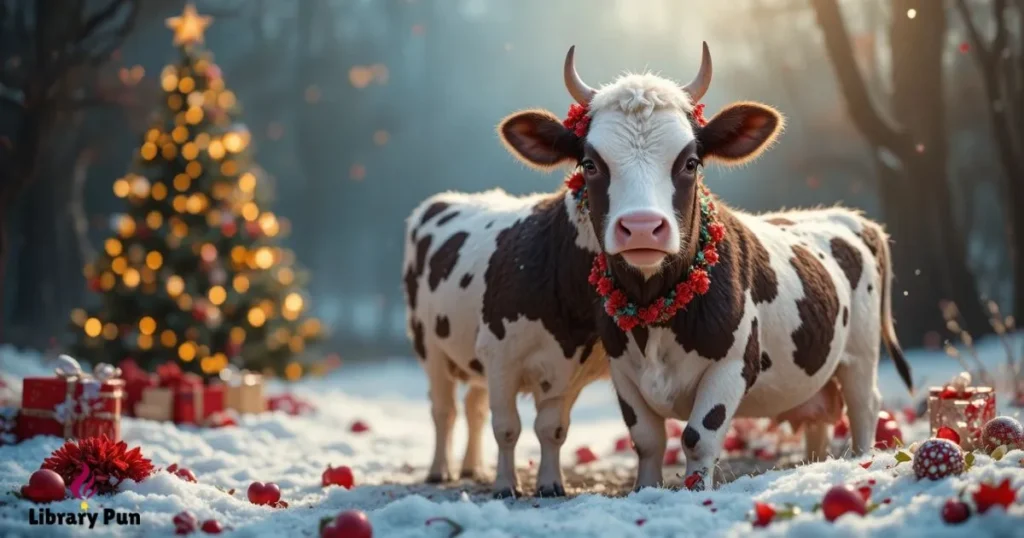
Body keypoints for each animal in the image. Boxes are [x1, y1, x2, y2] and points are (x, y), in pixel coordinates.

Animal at [403, 189, 608, 497]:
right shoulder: (501, 357)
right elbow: (507, 428)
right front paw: (506, 485)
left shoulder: (569, 370)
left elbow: (553, 429)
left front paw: (550, 484)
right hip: (430, 346)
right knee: (444, 410)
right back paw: (440, 471)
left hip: (476, 359)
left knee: (472, 407)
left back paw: (472, 468)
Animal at [495, 42, 913, 492]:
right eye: (589, 163)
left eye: (691, 162)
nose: (641, 226)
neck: (654, 312)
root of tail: (850, 218)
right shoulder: (623, 371)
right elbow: (646, 439)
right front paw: (646, 490)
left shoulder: (732, 366)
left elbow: (698, 437)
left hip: (860, 355)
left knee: (864, 407)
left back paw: (861, 460)